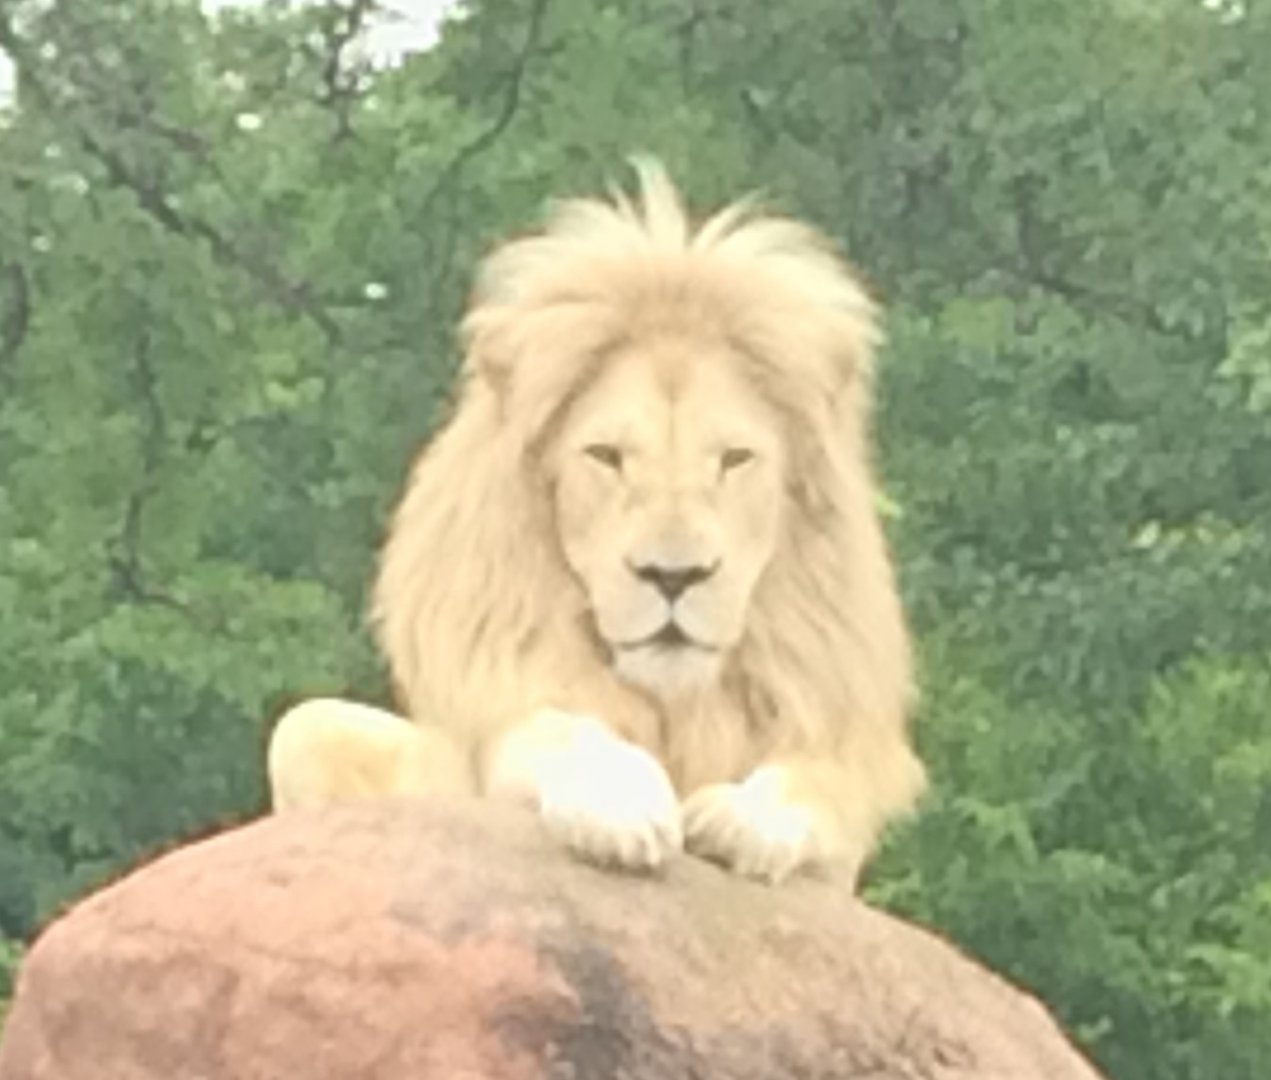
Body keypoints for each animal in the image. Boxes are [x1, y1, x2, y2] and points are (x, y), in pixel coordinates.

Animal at [268, 160, 926, 886]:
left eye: (734, 459)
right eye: (606, 455)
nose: (674, 576)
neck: (675, 708)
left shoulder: (838, 858)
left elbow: (816, 784)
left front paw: (743, 819)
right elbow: (558, 727)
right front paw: (619, 806)